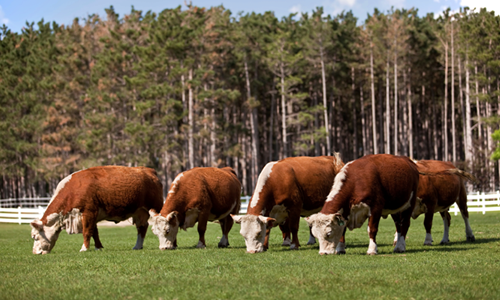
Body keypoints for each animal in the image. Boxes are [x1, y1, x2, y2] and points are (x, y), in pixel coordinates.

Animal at [29, 165, 164, 254]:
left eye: (35, 236)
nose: (34, 252)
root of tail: (148, 170)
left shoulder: (88, 213)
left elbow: (87, 232)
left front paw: (84, 248)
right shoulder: (92, 216)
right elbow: (94, 232)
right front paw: (98, 247)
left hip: (156, 208)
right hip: (139, 212)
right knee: (142, 227)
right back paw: (137, 246)